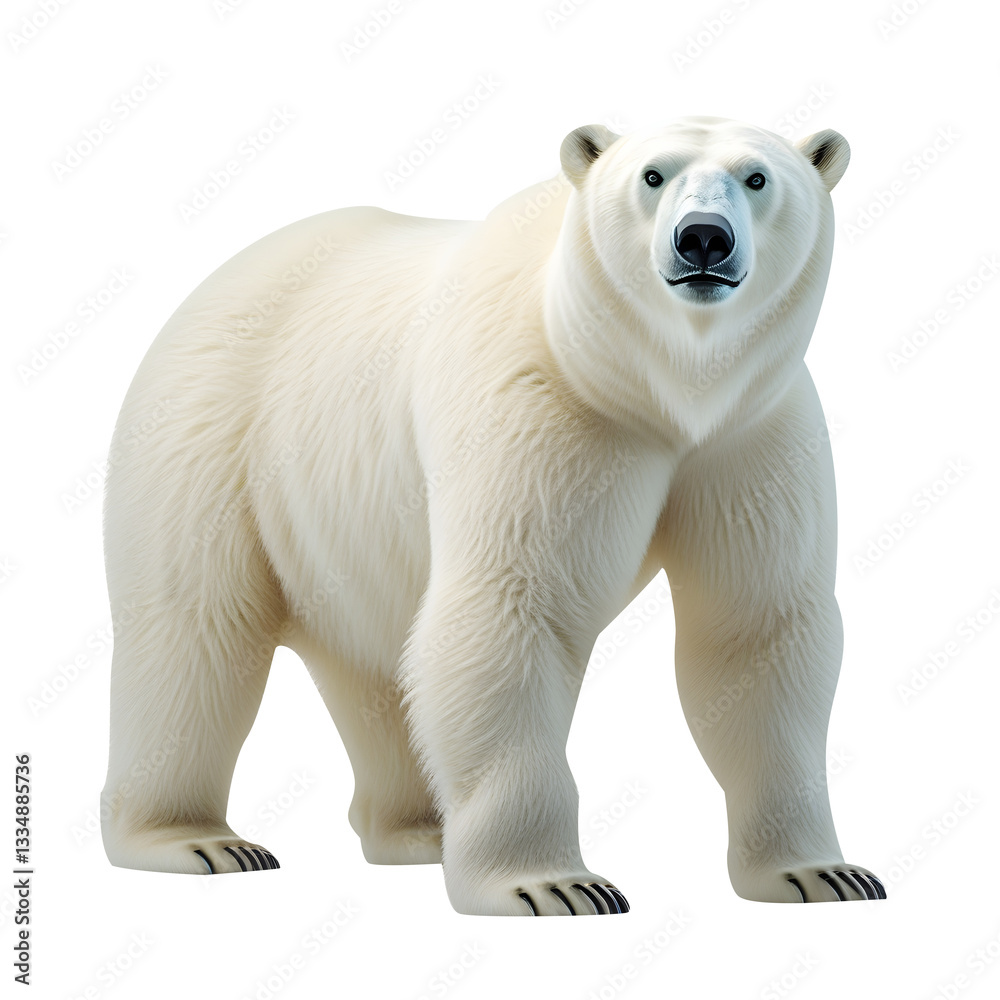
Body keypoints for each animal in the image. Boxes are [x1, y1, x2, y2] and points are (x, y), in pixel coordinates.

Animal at [101, 115, 886, 914]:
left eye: (757, 177)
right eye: (653, 175)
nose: (702, 239)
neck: (653, 388)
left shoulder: (752, 433)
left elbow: (755, 629)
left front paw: (823, 873)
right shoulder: (538, 404)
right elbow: (510, 608)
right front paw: (554, 884)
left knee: (376, 664)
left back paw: (416, 830)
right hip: (212, 437)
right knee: (195, 630)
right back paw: (198, 839)